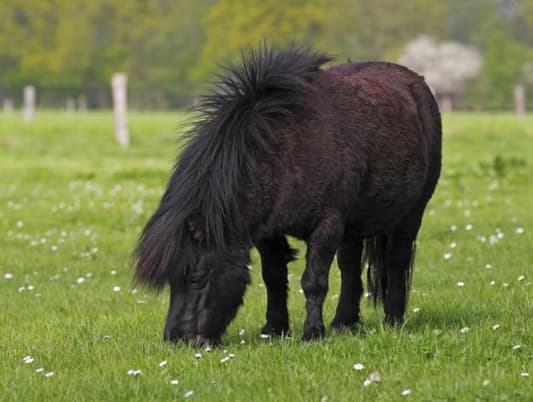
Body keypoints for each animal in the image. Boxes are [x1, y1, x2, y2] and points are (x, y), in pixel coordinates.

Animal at [134, 44, 440, 346]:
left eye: (197, 279)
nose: (176, 339)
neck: (283, 153)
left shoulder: (327, 225)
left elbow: (313, 282)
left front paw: (312, 334)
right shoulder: (267, 232)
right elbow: (273, 276)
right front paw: (274, 329)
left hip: (411, 214)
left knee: (397, 260)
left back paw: (393, 320)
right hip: (354, 224)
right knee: (350, 266)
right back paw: (343, 324)